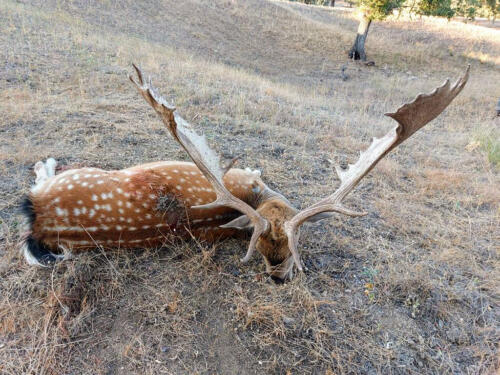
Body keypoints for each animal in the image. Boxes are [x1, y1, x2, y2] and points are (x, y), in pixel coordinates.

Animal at [20, 65, 468, 280]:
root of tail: (39, 221)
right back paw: (44, 162)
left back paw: (44, 163)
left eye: (293, 254)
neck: (260, 196)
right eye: (266, 252)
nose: (278, 277)